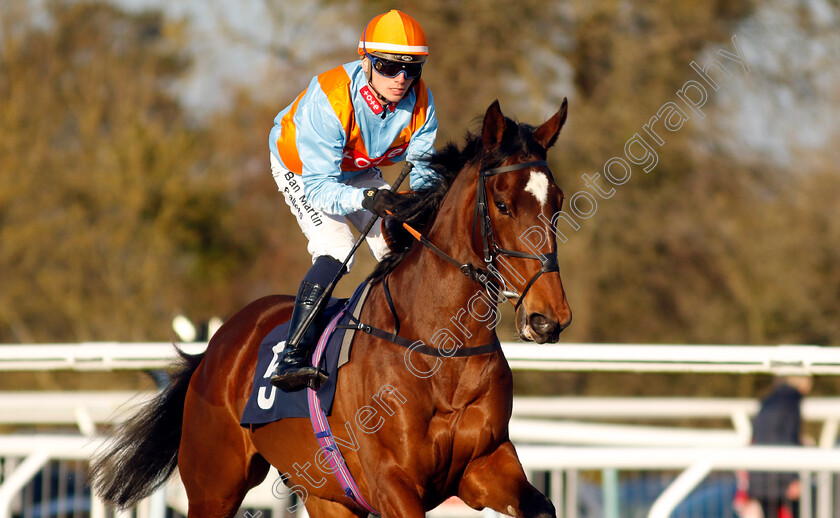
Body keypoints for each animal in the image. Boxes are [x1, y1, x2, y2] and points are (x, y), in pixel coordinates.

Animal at [95, 100, 576, 518]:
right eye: (502, 204)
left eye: (557, 201)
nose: (548, 318)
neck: (441, 350)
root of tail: (216, 345)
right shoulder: (393, 482)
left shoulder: (484, 464)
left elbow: (542, 506)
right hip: (214, 483)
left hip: (326, 495)